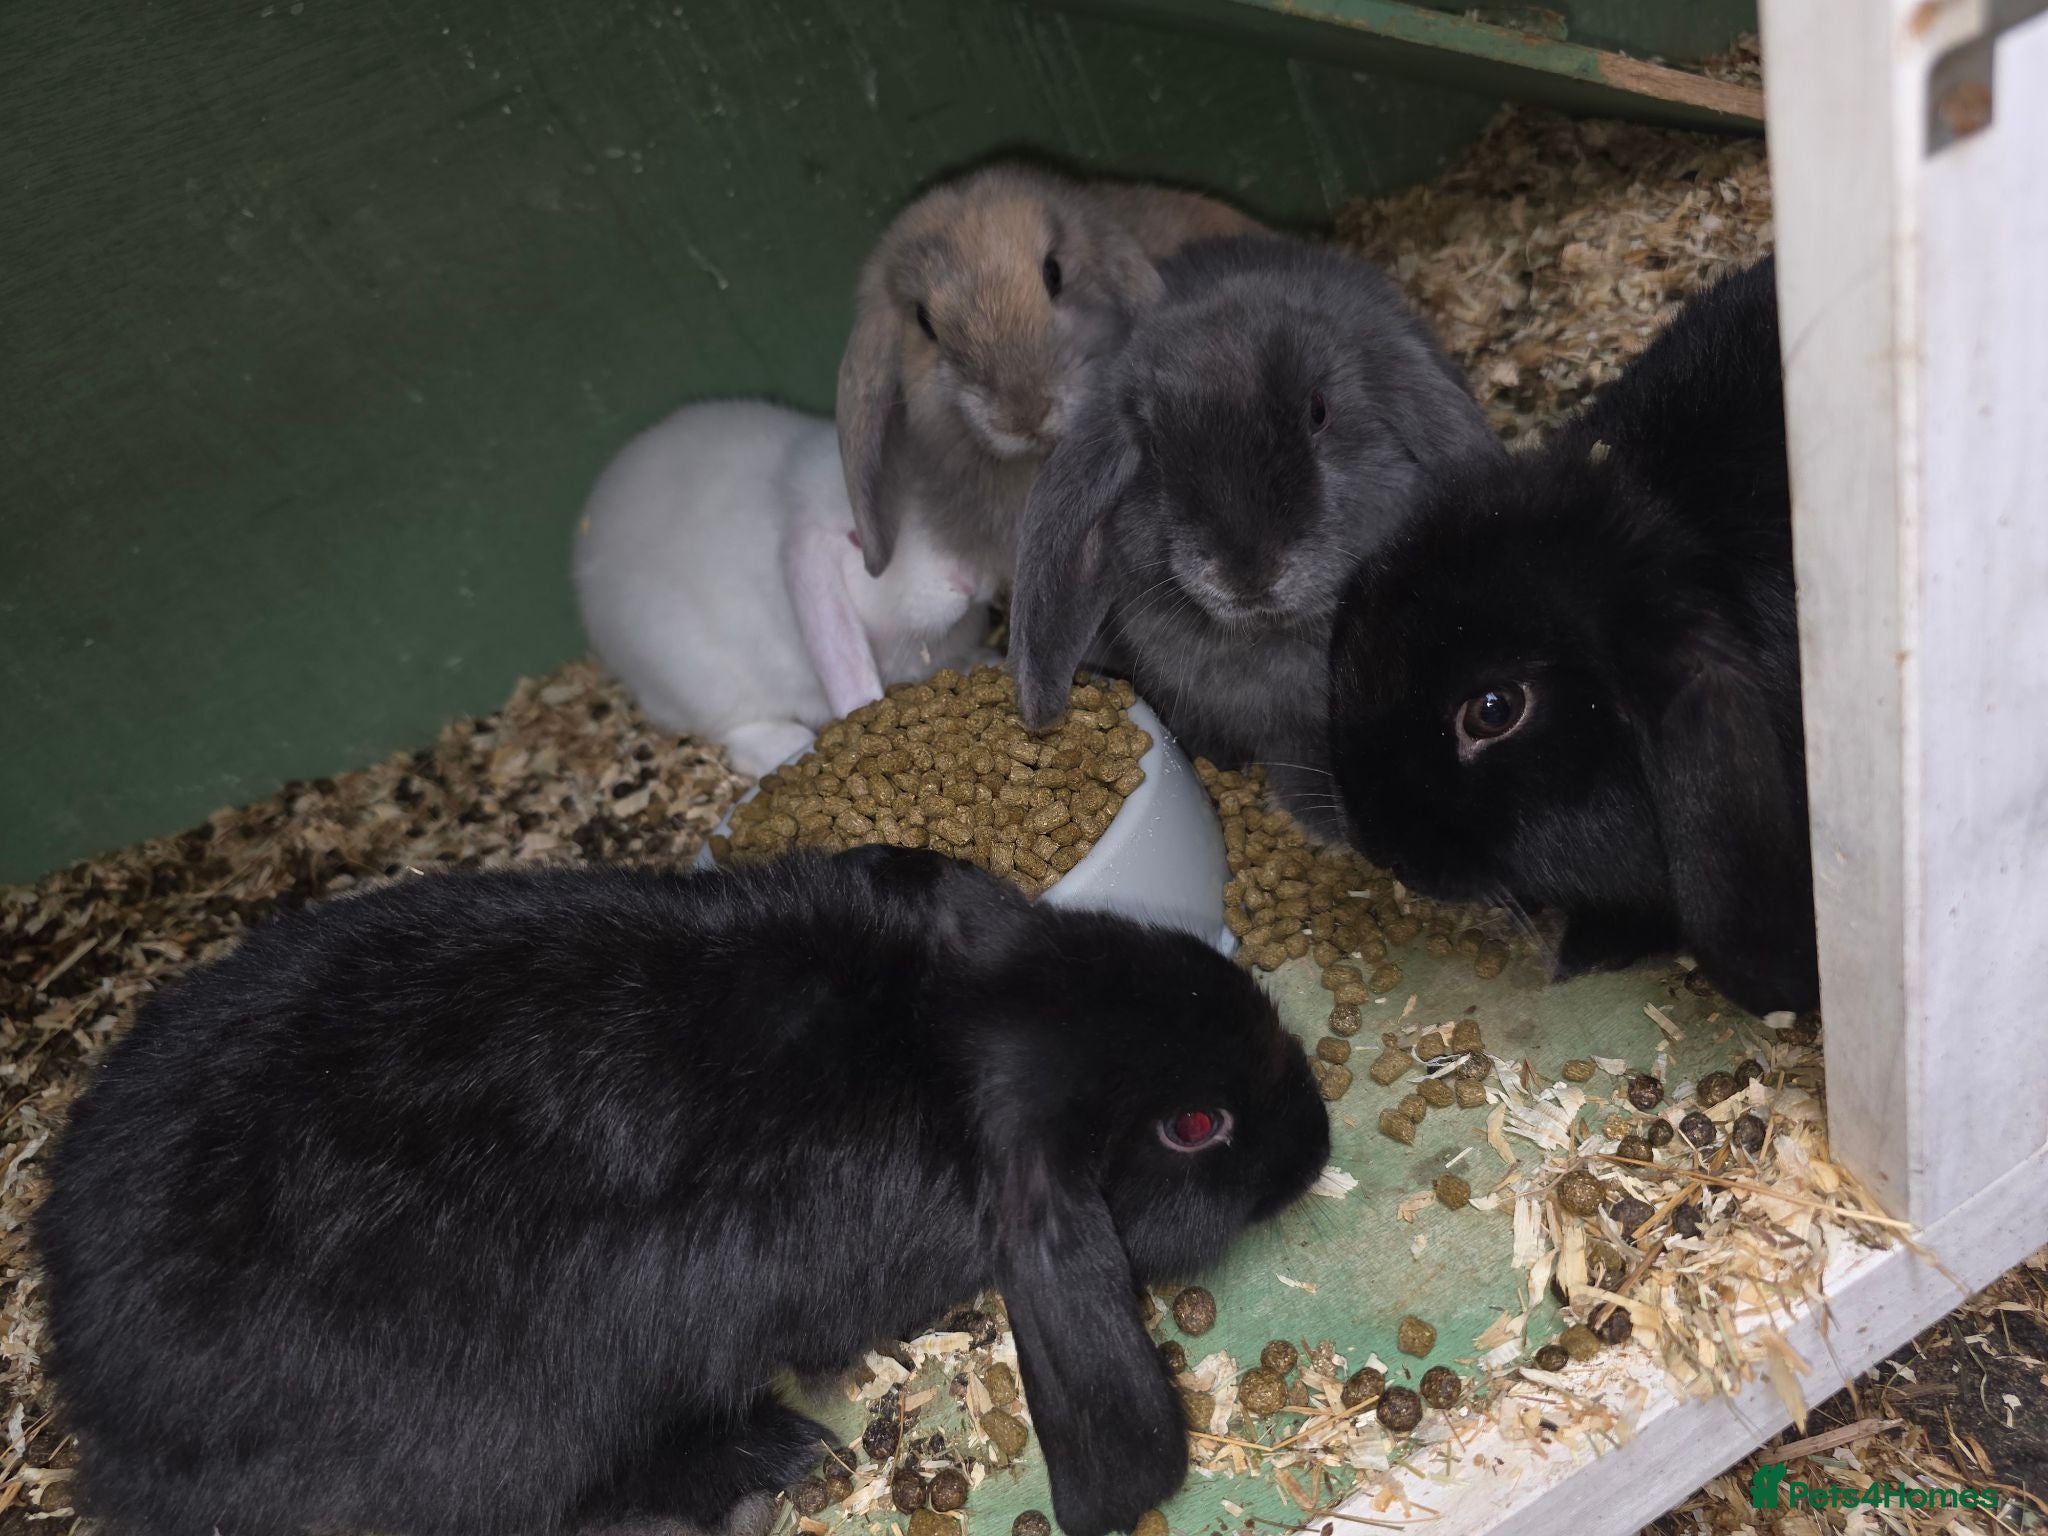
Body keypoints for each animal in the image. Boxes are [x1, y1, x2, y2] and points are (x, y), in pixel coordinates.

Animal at [37, 844, 1331, 1536]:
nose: (1312, 1147)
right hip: (516, 1421)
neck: (939, 1044)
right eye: (1194, 1127)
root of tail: (96, 1388)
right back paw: (753, 1468)